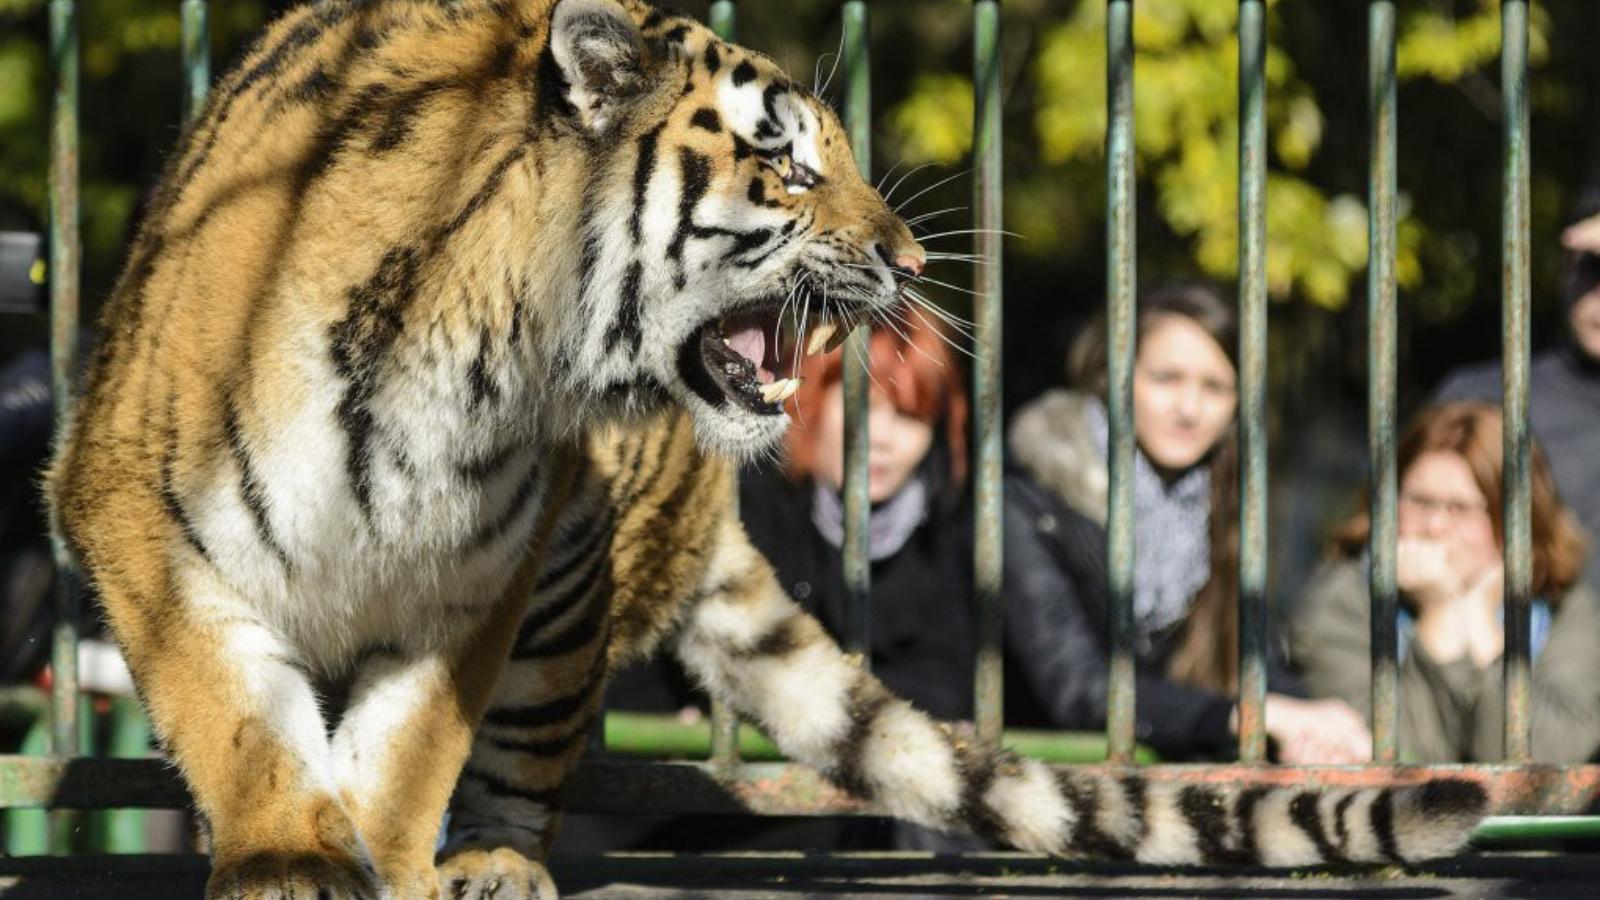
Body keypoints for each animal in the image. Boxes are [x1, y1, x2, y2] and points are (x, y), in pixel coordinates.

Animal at [46, 0, 1484, 890]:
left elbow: (406, 763)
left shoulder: (472, 584)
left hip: (568, 581)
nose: (912, 263)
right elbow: (233, 717)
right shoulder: (135, 517)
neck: (476, 368)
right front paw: (292, 862)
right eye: (787, 165)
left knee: (523, 755)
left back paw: (496, 868)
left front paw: (387, 859)